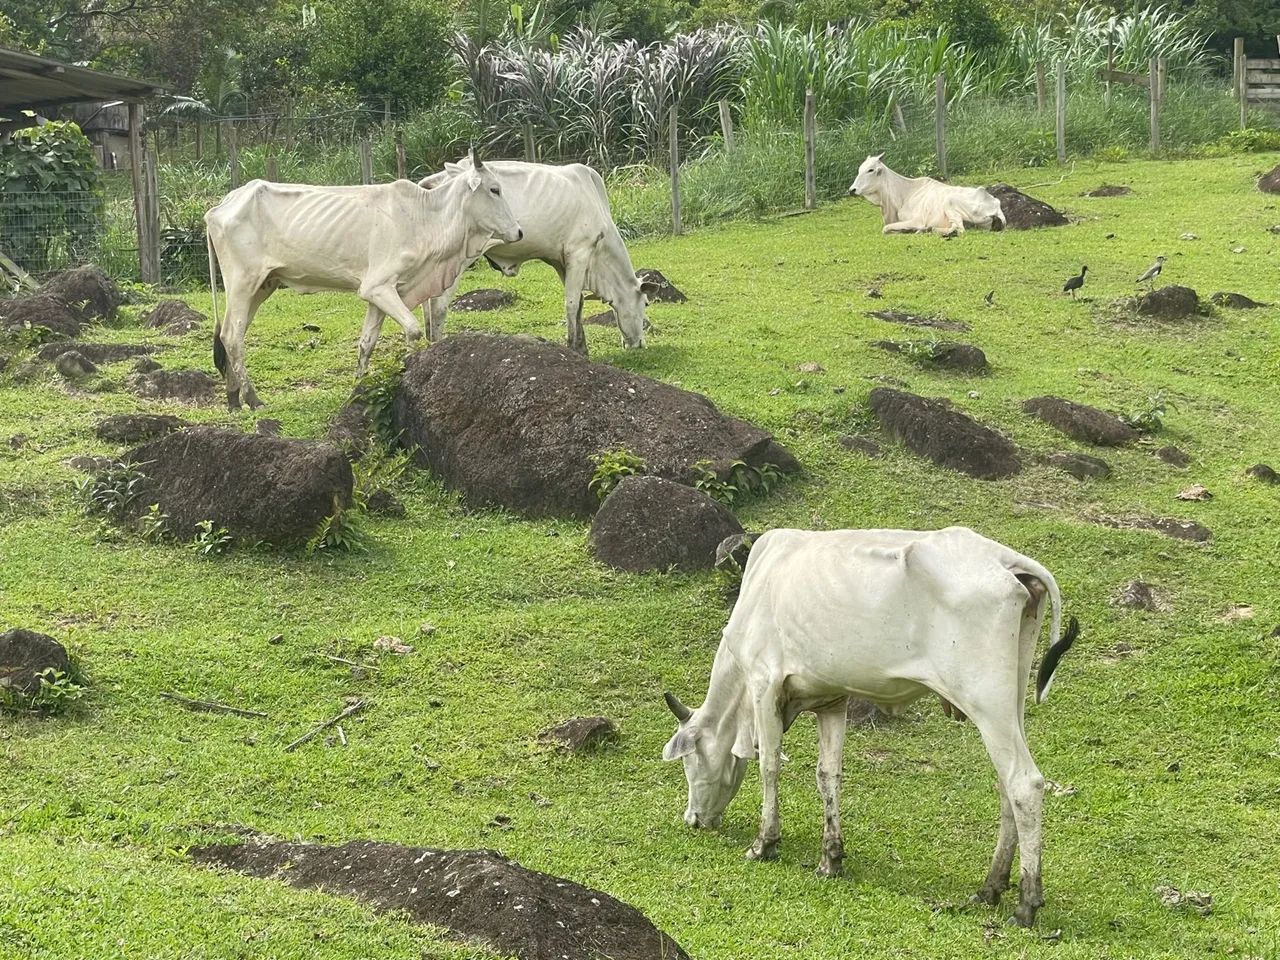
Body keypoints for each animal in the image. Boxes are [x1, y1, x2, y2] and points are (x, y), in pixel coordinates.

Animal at [204, 150, 522, 410]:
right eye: (494, 189)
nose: (519, 232)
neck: (425, 219)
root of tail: (219, 207)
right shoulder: (379, 287)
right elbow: (413, 330)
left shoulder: (380, 294)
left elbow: (366, 342)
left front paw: (357, 390)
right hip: (243, 282)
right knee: (232, 336)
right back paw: (252, 398)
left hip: (263, 285)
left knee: (232, 335)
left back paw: (233, 398)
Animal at [410, 158, 656, 355]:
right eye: (645, 302)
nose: (640, 344)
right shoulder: (579, 251)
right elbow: (571, 303)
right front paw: (574, 348)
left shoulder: (560, 260)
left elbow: (578, 304)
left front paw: (582, 346)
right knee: (438, 304)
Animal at [661, 526, 1079, 928]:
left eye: (689, 761)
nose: (693, 819)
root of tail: (1005, 560)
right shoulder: (832, 699)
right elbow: (827, 774)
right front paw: (830, 859)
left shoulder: (765, 684)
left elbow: (769, 766)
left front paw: (764, 843)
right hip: (1012, 700)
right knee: (1005, 786)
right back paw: (990, 887)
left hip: (986, 700)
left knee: (1024, 783)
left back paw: (1026, 904)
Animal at [848, 154, 1005, 236]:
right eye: (859, 169)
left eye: (870, 170)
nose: (852, 190)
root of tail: (995, 206)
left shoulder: (917, 220)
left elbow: (886, 228)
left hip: (949, 202)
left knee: (959, 229)